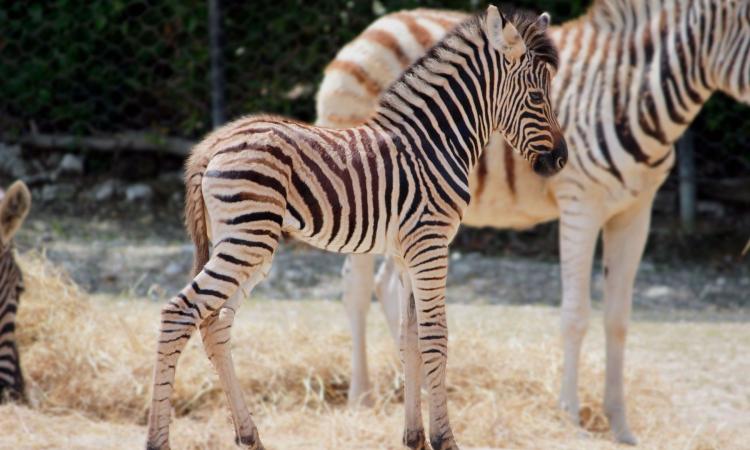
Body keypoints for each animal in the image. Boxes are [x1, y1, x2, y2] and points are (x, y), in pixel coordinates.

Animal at [146, 6, 566, 450]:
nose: (560, 159)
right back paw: (159, 440)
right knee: (180, 312)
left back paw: (249, 435)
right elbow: (435, 337)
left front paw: (414, 436)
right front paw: (444, 438)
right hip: (246, 240)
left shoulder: (407, 252)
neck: (436, 142)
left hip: (244, 243)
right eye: (537, 97)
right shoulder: (431, 243)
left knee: (215, 323)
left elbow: (410, 338)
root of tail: (214, 143)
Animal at [320, 0, 750, 444]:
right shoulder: (581, 204)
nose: (559, 158)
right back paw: (362, 396)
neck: (632, 92)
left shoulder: (636, 211)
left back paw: (411, 386)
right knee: (356, 287)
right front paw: (571, 417)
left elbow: (618, 318)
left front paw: (619, 423)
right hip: (365, 196)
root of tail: (372, 28)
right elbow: (576, 314)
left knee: (389, 287)